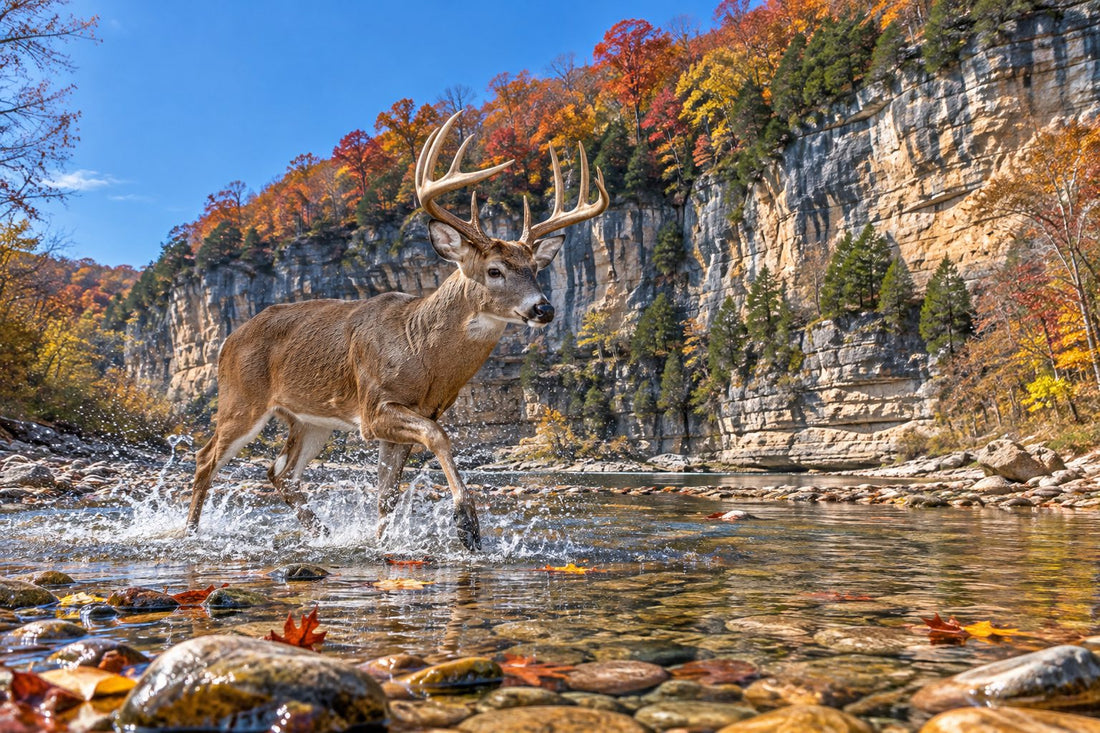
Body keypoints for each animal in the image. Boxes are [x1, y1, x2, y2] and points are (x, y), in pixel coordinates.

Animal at [184, 111, 609, 550]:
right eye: (495, 271)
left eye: (536, 269)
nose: (544, 308)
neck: (420, 351)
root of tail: (227, 341)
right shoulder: (374, 407)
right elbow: (438, 437)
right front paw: (466, 524)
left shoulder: (408, 417)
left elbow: (386, 494)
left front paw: (382, 542)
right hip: (242, 398)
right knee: (206, 458)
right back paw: (191, 531)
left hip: (310, 419)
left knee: (279, 472)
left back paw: (322, 532)